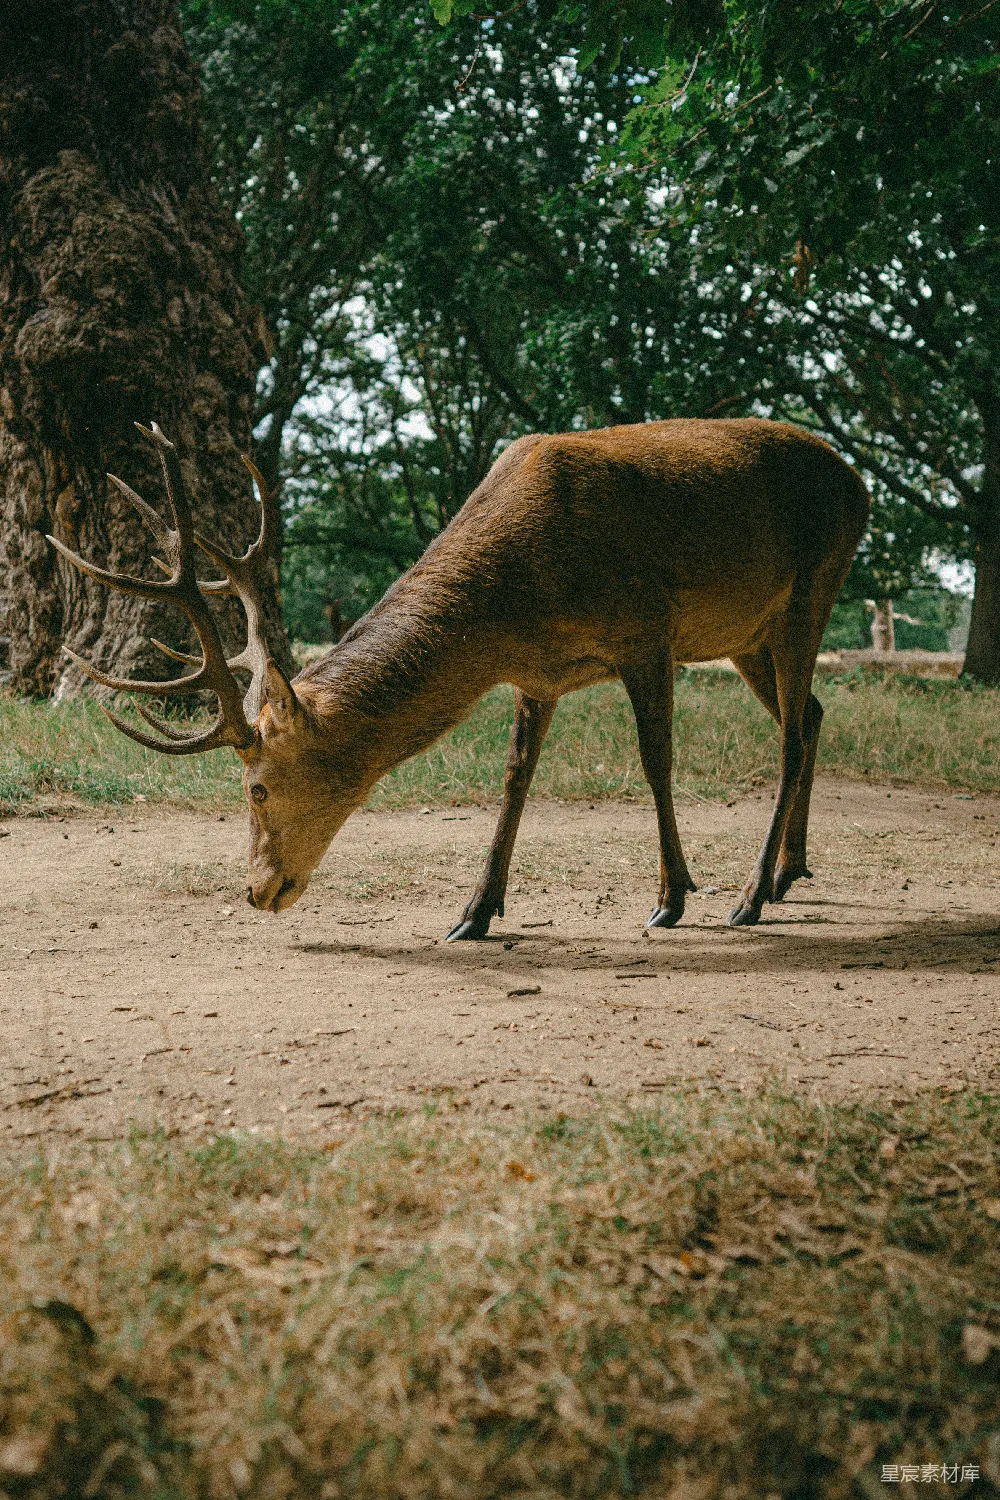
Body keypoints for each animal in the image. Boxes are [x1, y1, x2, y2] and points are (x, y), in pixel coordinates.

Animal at [48, 417, 869, 936]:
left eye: (256, 788)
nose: (256, 891)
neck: (516, 599)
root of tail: (860, 481)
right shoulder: (539, 673)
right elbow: (514, 777)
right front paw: (474, 913)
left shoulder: (647, 630)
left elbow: (655, 762)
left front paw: (672, 897)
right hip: (750, 635)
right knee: (815, 713)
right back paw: (790, 872)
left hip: (813, 587)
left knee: (790, 738)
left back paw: (750, 895)